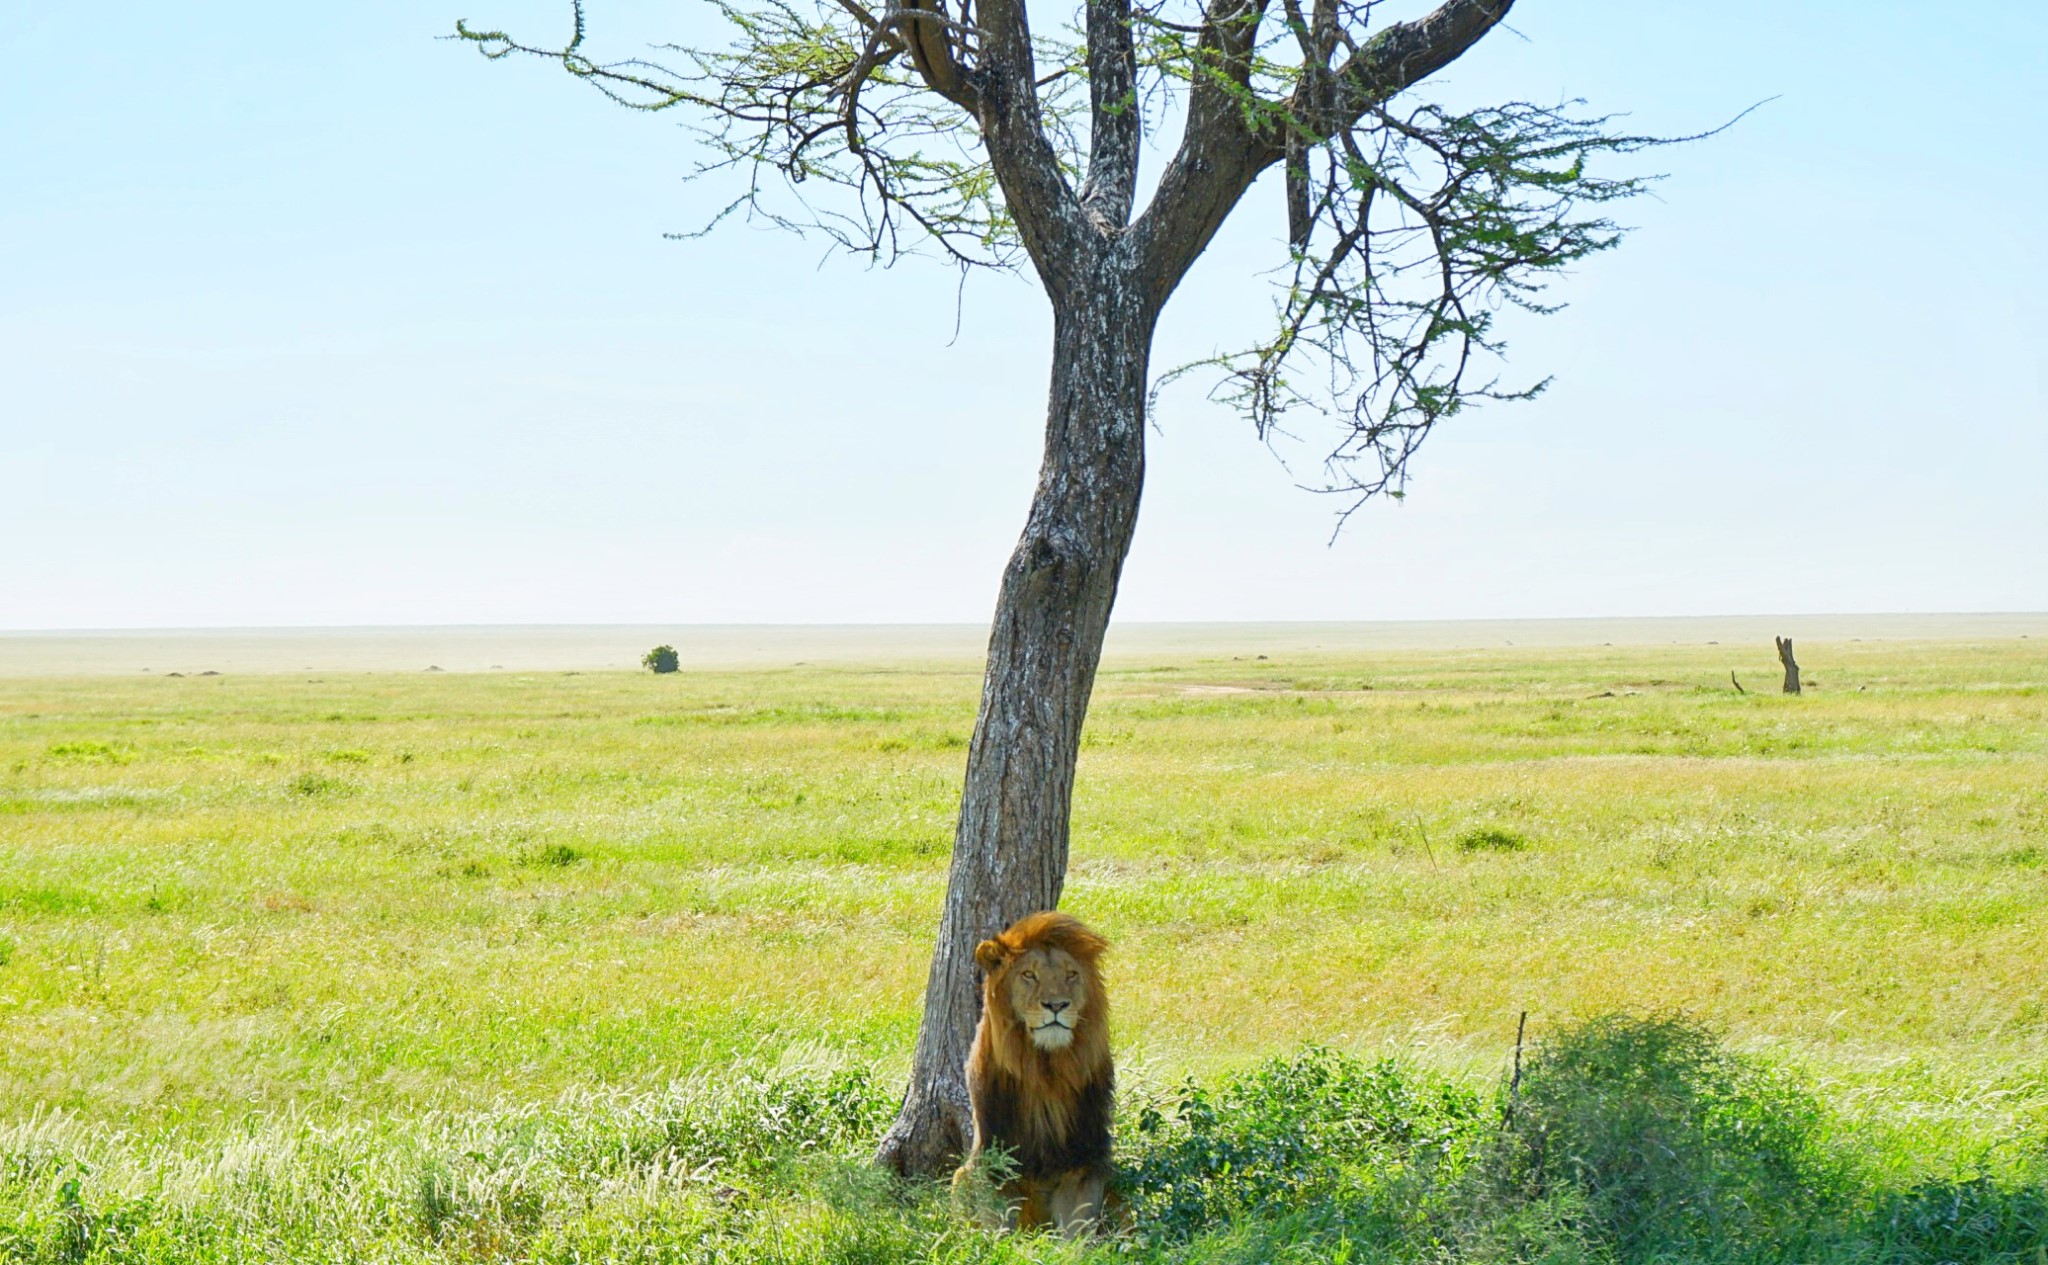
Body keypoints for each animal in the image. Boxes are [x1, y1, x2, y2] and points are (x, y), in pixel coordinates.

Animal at [950, 904, 1114, 1228]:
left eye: (1071, 975)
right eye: (1029, 975)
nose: (1056, 1005)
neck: (1044, 1070)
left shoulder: (1084, 1160)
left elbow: (1077, 1230)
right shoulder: (994, 1161)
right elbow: (998, 1226)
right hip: (961, 1176)